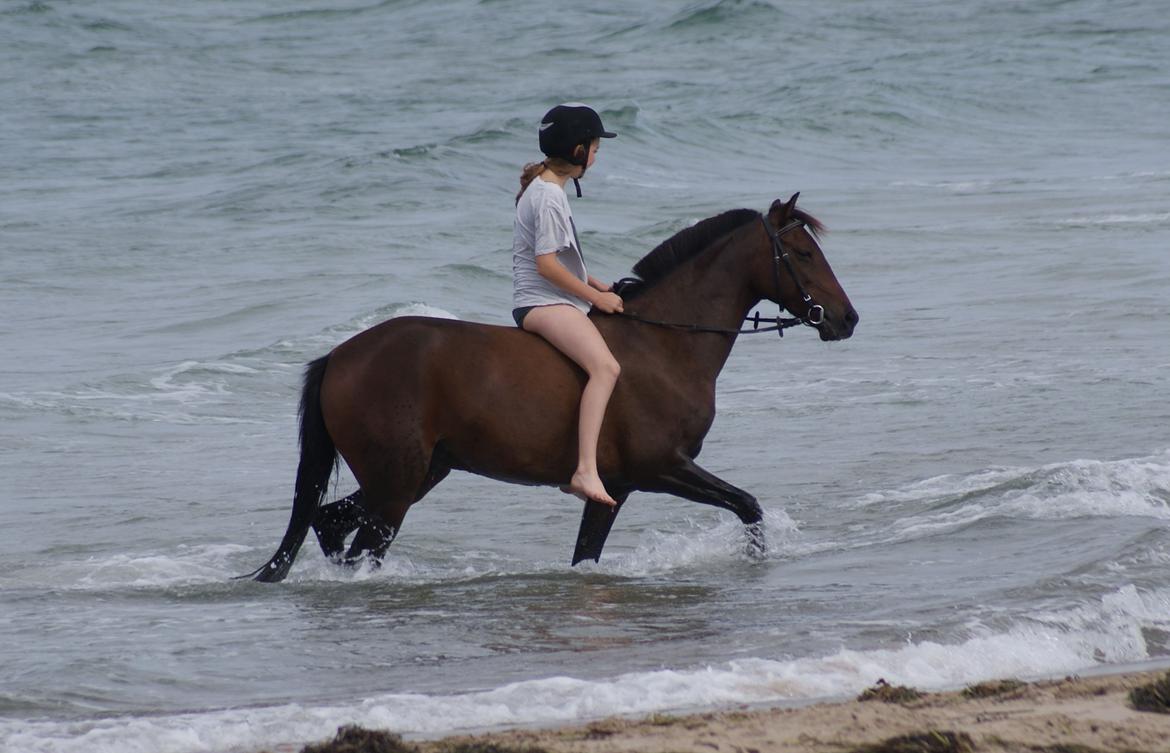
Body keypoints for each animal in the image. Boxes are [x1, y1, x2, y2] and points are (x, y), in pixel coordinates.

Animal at [242, 194, 856, 582]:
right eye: (803, 254)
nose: (846, 320)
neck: (665, 343)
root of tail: (340, 356)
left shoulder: (617, 487)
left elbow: (586, 557)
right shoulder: (661, 467)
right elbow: (747, 506)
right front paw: (755, 562)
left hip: (417, 475)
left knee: (329, 521)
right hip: (397, 486)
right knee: (357, 543)